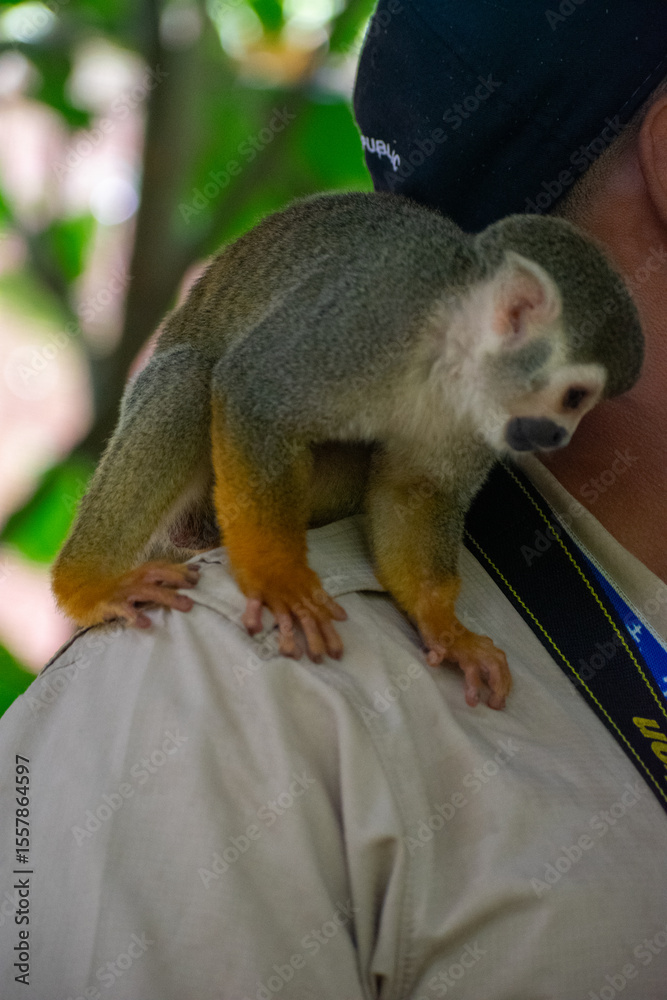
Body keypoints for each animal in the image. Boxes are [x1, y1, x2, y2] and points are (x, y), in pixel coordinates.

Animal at [51, 191, 643, 710]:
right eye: (575, 397)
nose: (560, 437)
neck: (447, 351)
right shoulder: (367, 317)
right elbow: (254, 392)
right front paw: (279, 580)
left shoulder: (475, 415)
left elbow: (414, 490)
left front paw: (445, 628)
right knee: (190, 381)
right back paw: (89, 586)